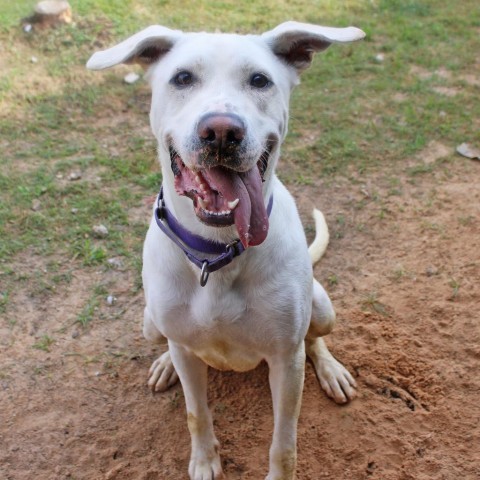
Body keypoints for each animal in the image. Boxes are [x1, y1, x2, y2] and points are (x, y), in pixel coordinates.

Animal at [88, 22, 364, 480]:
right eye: (182, 78)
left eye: (260, 80)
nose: (221, 131)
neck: (215, 254)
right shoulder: (186, 354)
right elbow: (195, 412)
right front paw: (204, 461)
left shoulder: (285, 362)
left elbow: (284, 442)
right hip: (149, 322)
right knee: (167, 343)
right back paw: (165, 364)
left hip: (323, 308)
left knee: (314, 337)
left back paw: (330, 369)